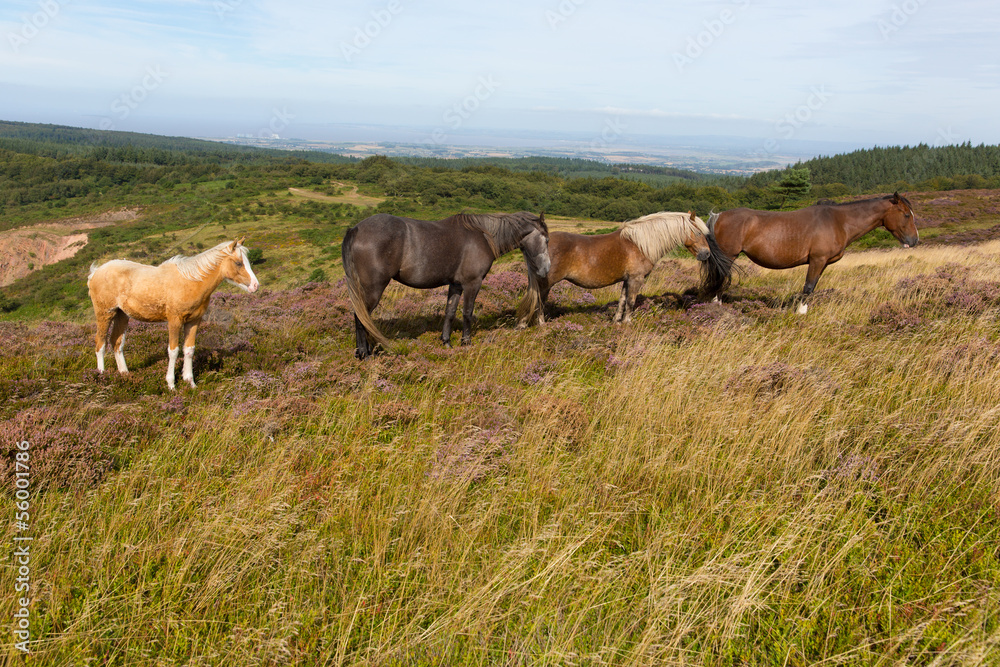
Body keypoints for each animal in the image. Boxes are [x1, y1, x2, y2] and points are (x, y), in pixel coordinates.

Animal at [87, 239, 258, 388]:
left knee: (116, 342)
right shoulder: (174, 320)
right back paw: (101, 376)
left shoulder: (194, 321)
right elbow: (173, 351)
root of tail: (94, 273)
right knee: (100, 343)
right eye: (238, 263)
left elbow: (189, 350)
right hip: (105, 313)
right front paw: (171, 384)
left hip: (122, 315)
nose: (255, 286)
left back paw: (125, 375)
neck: (190, 282)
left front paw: (190, 382)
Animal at [342, 213, 548, 360]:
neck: (483, 237)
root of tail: (356, 229)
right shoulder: (472, 283)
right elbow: (467, 312)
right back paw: (365, 354)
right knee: (361, 317)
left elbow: (450, 312)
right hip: (373, 289)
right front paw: (466, 342)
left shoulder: (455, 285)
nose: (546, 269)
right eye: (546, 239)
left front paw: (446, 342)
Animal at [516, 210, 736, 328]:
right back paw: (541, 325)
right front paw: (628, 322)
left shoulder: (626, 280)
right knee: (539, 302)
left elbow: (622, 300)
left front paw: (617, 321)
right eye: (698, 233)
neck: (639, 244)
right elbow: (631, 302)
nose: (706, 254)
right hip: (545, 284)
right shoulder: (636, 279)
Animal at [700, 193, 916, 314]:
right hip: (728, 256)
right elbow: (809, 287)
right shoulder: (817, 260)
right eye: (906, 215)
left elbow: (813, 286)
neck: (839, 221)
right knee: (720, 279)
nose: (914, 240)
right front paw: (801, 312)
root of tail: (718, 216)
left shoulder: (823, 263)